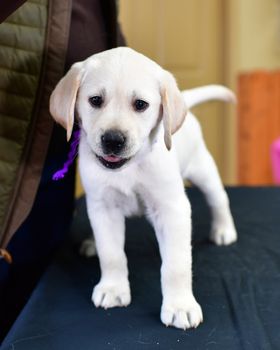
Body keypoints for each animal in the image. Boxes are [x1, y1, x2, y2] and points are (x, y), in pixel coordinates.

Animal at [49, 47, 236, 330]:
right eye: (95, 100)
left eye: (140, 105)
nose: (113, 140)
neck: (129, 167)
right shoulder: (102, 206)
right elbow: (111, 254)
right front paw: (113, 288)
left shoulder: (172, 209)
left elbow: (176, 265)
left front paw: (180, 306)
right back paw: (91, 242)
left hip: (202, 168)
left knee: (219, 198)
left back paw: (224, 229)